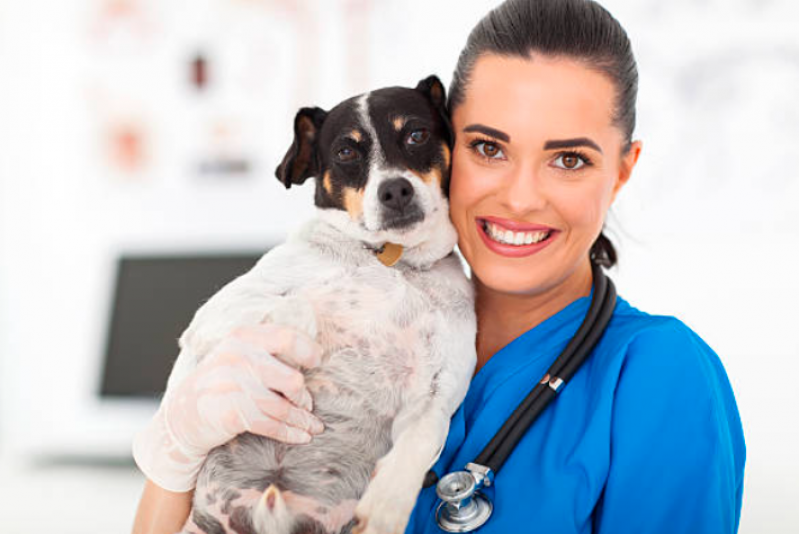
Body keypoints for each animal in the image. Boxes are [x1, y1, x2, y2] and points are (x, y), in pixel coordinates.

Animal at [170, 75, 476, 534]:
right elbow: (298, 307)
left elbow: (424, 438)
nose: (395, 189)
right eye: (346, 152)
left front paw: (388, 502)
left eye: (416, 134)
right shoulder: (216, 314)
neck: (394, 262)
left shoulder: (441, 388)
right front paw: (299, 332)